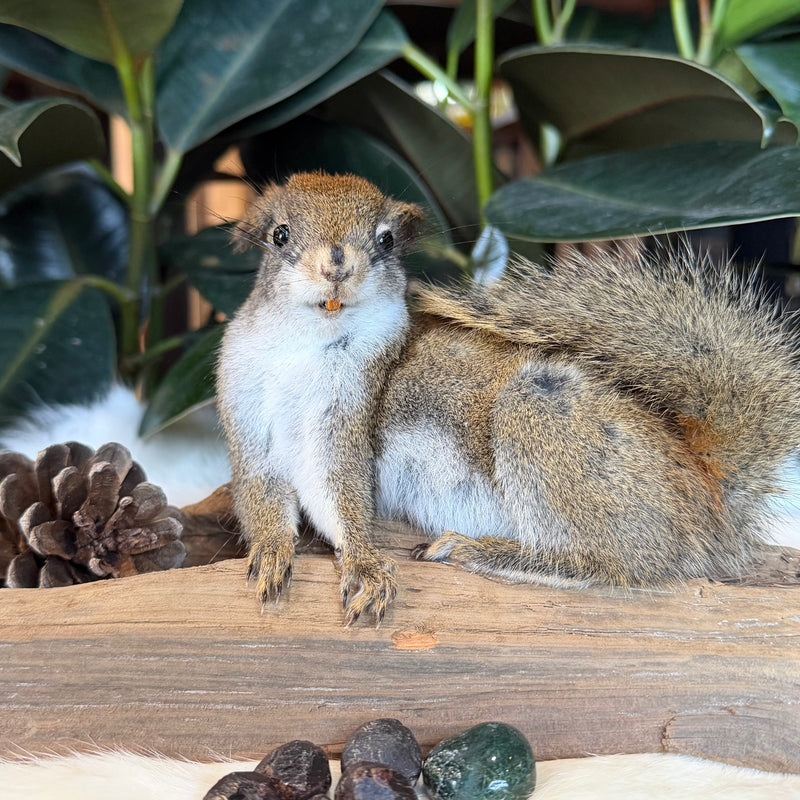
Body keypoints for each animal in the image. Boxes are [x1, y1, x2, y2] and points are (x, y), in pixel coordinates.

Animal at [217, 171, 800, 626]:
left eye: (384, 240)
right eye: (279, 235)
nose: (336, 264)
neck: (306, 341)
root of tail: (708, 500)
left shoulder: (343, 421)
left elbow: (340, 492)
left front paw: (364, 564)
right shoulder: (247, 415)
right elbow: (259, 488)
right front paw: (272, 548)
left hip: (541, 412)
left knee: (606, 565)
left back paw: (485, 551)